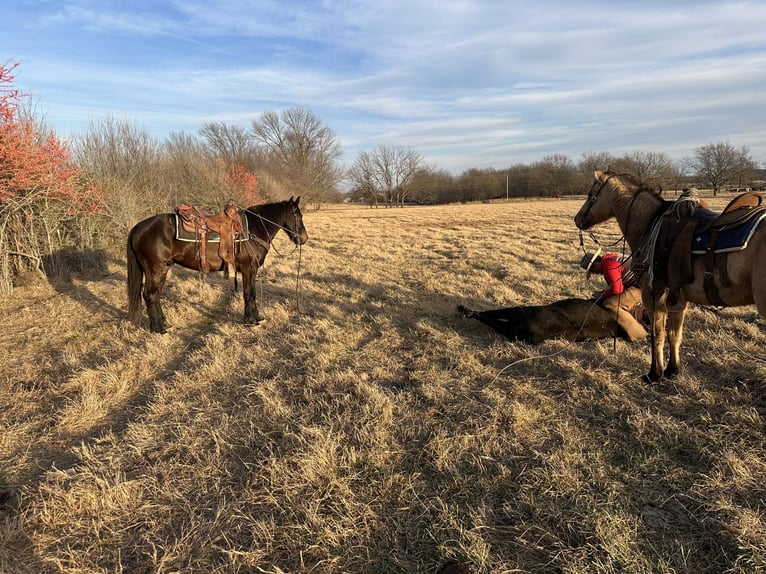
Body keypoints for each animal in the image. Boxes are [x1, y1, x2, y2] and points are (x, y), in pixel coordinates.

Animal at [127, 197, 308, 333]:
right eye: (298, 216)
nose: (304, 238)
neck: (253, 229)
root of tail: (137, 227)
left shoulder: (251, 270)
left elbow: (252, 293)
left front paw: (257, 317)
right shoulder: (248, 269)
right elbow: (249, 293)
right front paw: (250, 320)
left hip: (163, 268)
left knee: (156, 295)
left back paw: (165, 324)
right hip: (155, 269)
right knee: (150, 295)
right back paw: (158, 329)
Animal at [574, 170, 766, 382]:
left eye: (591, 194)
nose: (577, 219)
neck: (649, 224)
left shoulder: (652, 292)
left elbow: (657, 334)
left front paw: (654, 373)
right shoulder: (678, 296)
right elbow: (675, 334)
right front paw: (673, 369)